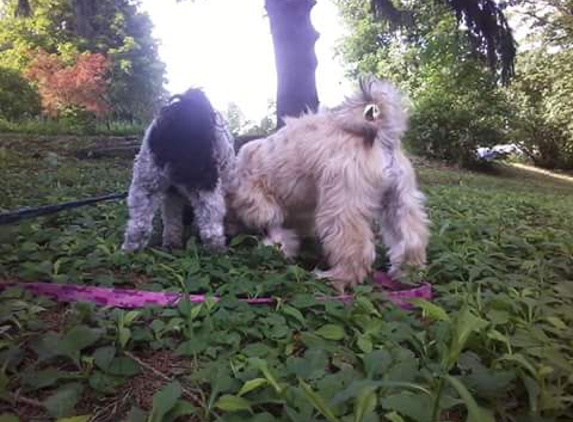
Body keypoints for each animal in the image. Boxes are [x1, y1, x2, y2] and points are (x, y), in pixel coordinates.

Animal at [122, 88, 236, 251]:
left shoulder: (171, 194)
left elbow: (172, 219)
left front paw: (172, 241)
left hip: (146, 180)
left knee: (139, 223)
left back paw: (132, 249)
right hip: (206, 183)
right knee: (209, 218)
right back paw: (216, 248)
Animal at [228, 76, 428, 292]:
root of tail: (381, 134)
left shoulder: (261, 201)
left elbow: (274, 225)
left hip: (341, 208)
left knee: (357, 250)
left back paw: (334, 278)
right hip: (400, 203)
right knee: (411, 240)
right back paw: (406, 274)